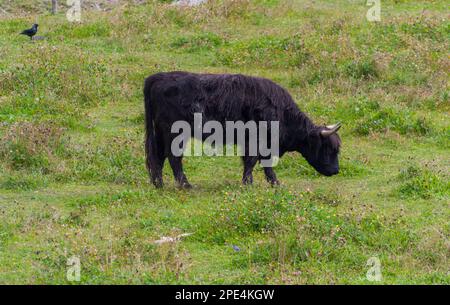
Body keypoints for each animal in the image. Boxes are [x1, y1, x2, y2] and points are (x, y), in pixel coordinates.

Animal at [144, 71, 342, 188]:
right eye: (328, 148)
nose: (336, 171)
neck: (280, 111)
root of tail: (159, 77)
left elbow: (263, 163)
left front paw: (274, 183)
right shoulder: (255, 142)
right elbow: (253, 161)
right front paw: (250, 183)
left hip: (160, 132)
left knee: (158, 156)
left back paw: (158, 184)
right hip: (174, 132)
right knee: (173, 157)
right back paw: (185, 185)